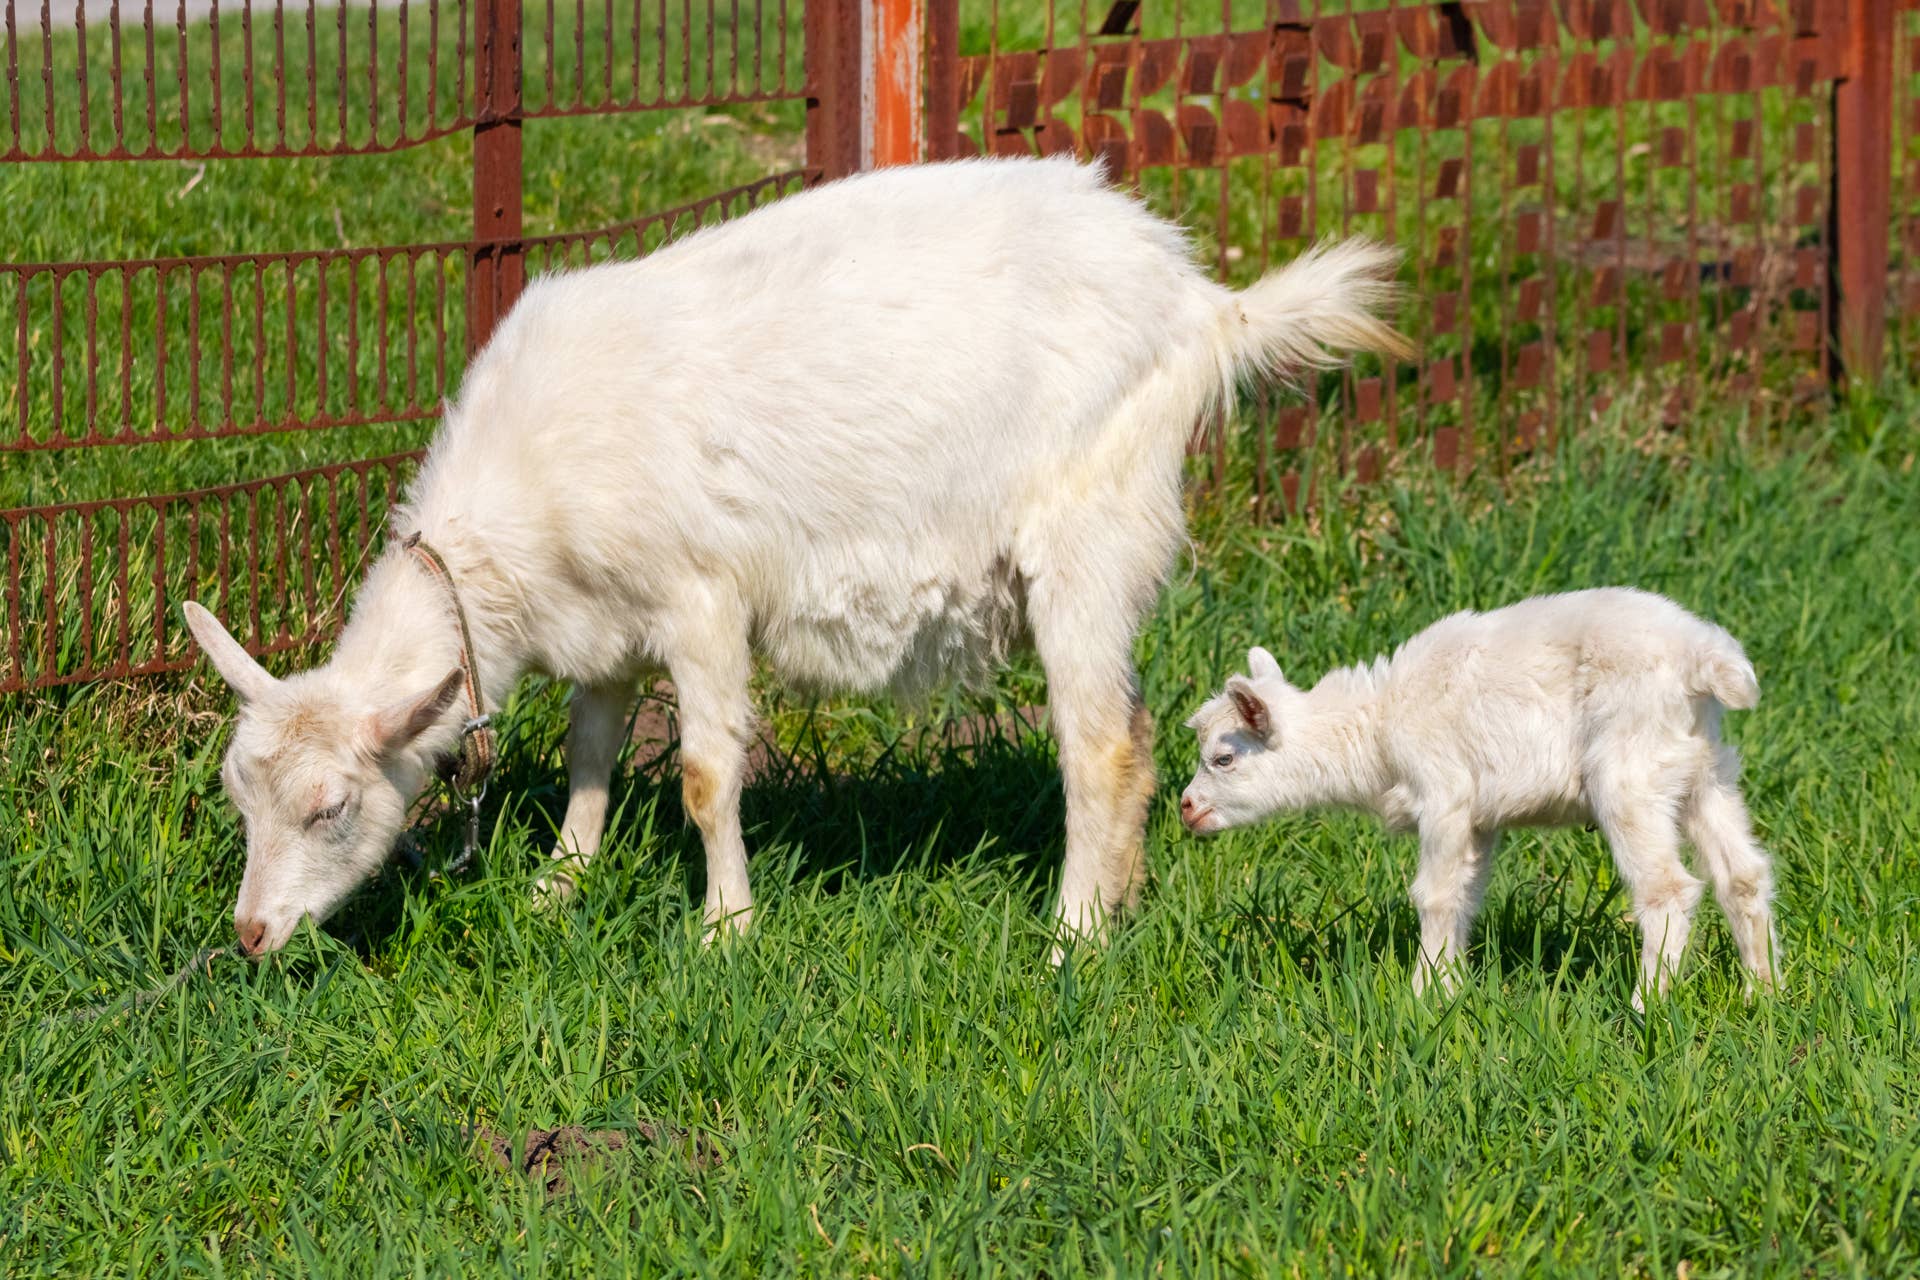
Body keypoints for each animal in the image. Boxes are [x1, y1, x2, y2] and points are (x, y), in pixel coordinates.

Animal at [183, 155, 1412, 957]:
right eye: (240, 798)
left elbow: (704, 773)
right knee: (1138, 737)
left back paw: (1071, 939)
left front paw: (726, 928)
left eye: (331, 808)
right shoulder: (603, 627)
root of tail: (1204, 303)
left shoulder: (697, 599)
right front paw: (558, 886)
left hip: (1086, 532)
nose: (247, 935)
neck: (512, 518)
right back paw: (1121, 903)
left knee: (1101, 749)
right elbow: (589, 756)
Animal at [1179, 588, 1779, 1006]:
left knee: (1668, 889)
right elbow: (1465, 895)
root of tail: (1702, 657)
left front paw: (1422, 995)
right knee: (1743, 875)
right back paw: (1762, 993)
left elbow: (1435, 896)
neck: (1377, 728)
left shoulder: (1444, 795)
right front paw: (1450, 984)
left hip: (1629, 775)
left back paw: (1645, 1005)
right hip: (1703, 771)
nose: (1187, 808)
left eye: (1223, 758)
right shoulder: (1481, 818)